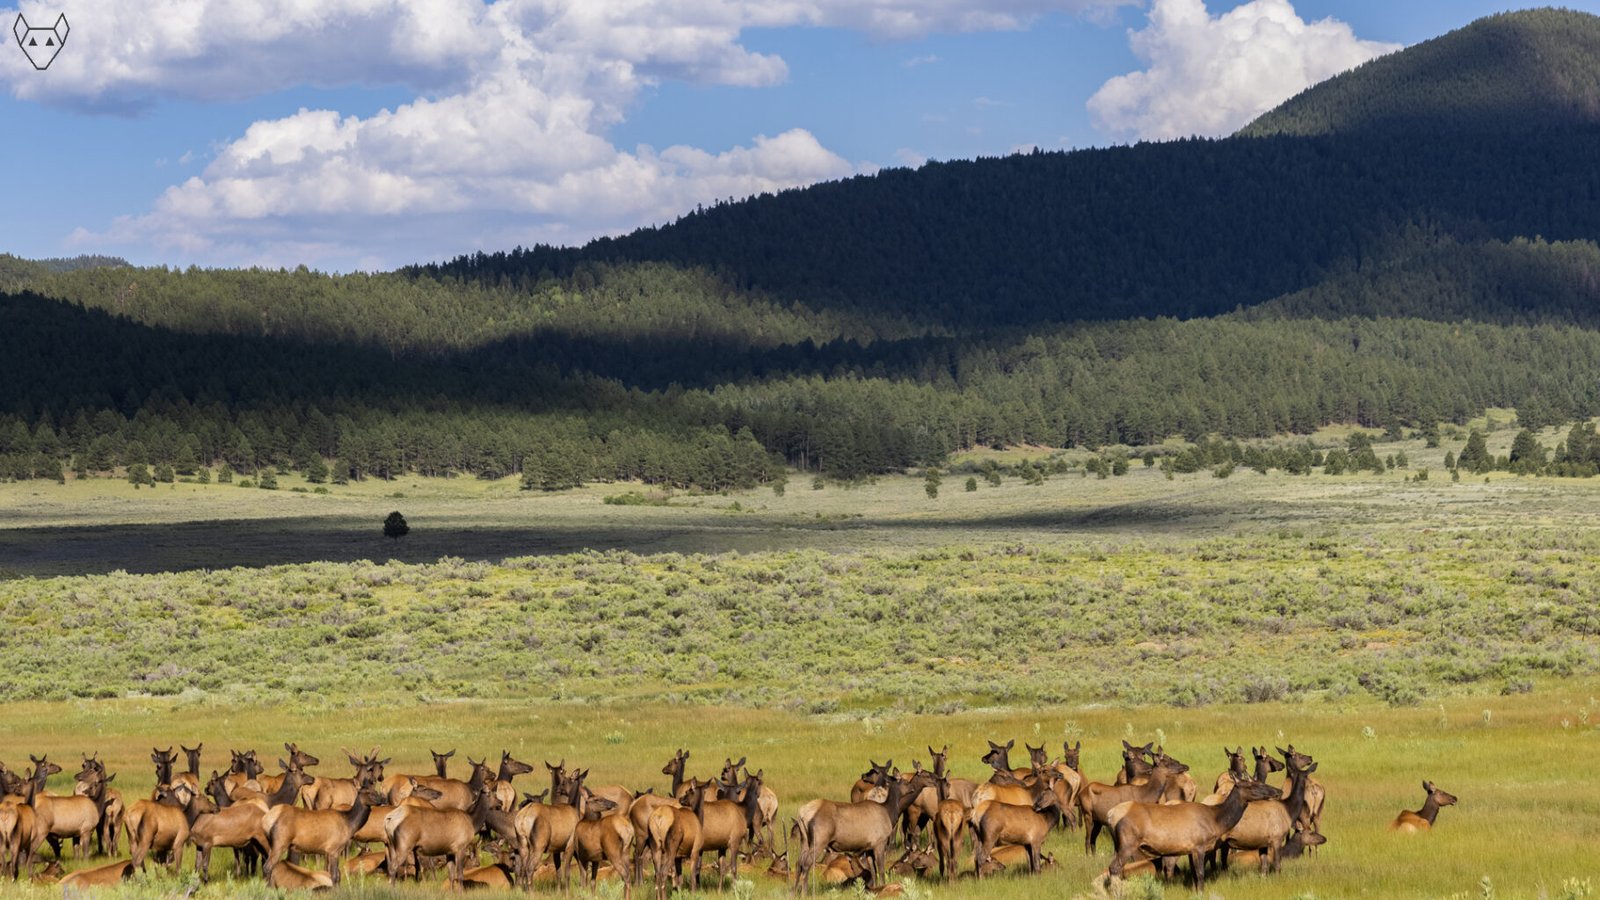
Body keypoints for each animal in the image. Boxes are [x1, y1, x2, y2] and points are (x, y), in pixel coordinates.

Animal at [793, 763, 937, 893]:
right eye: (906, 782)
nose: (936, 780)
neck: (890, 812)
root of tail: (802, 814)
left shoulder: (868, 848)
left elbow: (872, 872)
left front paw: (874, 888)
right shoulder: (880, 842)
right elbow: (881, 870)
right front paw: (883, 886)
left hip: (804, 840)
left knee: (798, 862)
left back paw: (793, 892)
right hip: (819, 840)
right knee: (806, 863)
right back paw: (805, 892)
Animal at [1106, 776, 1282, 892]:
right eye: (1252, 785)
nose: (1277, 791)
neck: (1217, 821)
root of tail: (1111, 814)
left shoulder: (1190, 849)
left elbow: (1194, 874)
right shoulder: (1199, 845)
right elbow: (1200, 873)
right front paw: (1201, 892)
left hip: (1117, 844)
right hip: (1128, 843)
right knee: (1114, 867)